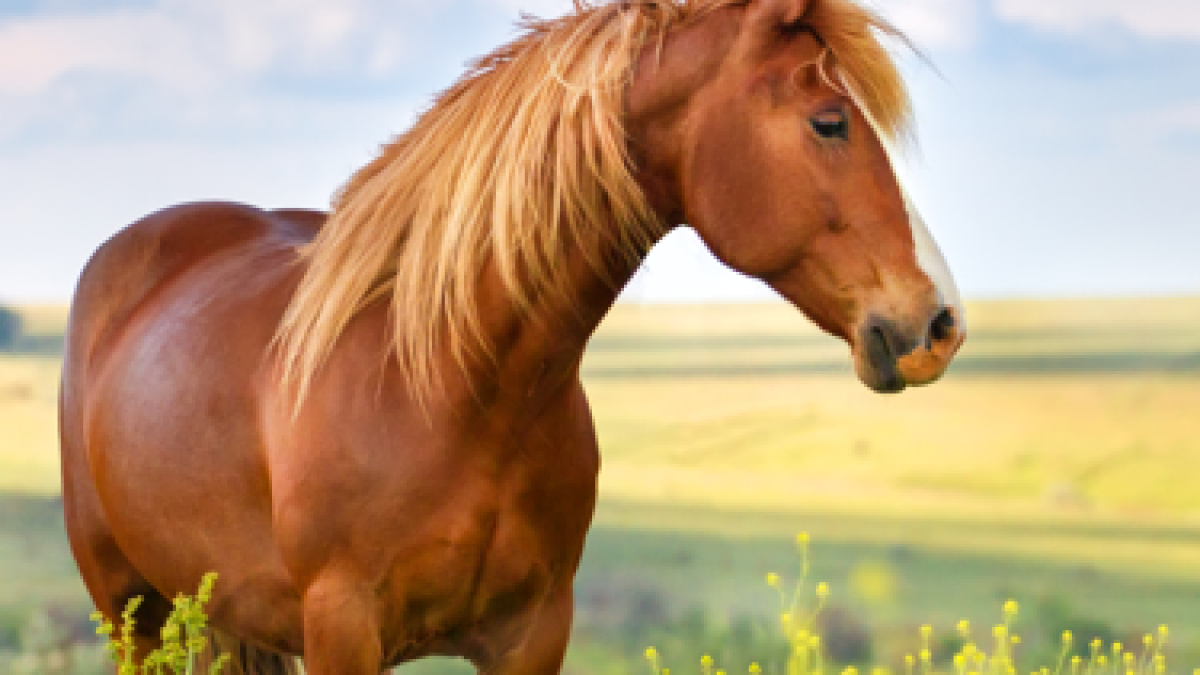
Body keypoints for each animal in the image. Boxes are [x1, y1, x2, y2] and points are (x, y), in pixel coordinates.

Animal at [59, 0, 965, 672]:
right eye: (829, 122)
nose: (941, 322)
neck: (451, 387)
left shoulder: (533, 632)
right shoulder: (342, 628)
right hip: (130, 612)